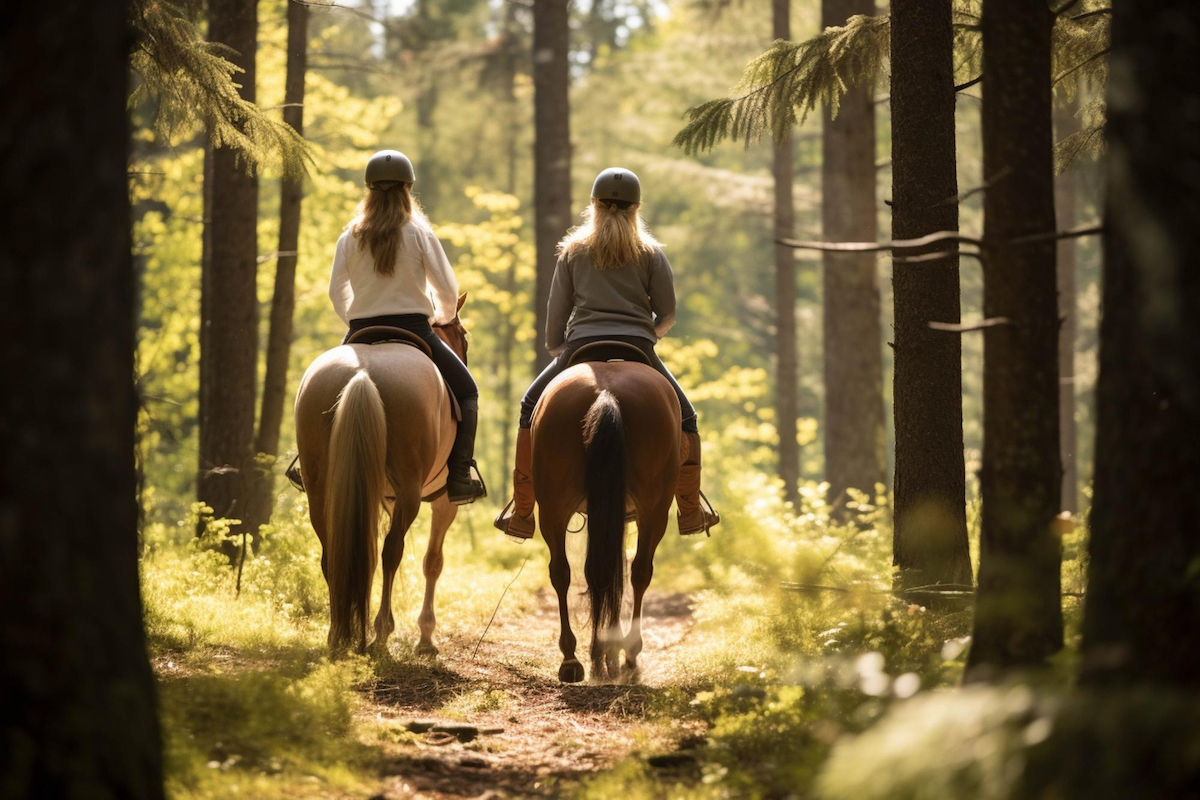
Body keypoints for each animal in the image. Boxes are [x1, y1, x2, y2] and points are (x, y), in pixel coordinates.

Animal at [292, 297, 470, 652]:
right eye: (464, 337)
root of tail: (363, 373)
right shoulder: (444, 501)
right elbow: (432, 561)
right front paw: (426, 636)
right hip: (410, 494)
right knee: (392, 552)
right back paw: (380, 633)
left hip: (320, 491)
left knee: (334, 552)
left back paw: (338, 632)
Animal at [530, 350, 681, 681]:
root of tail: (606, 394)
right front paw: (611, 654)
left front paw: (604, 653)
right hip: (654, 509)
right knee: (639, 572)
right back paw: (628, 656)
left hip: (553, 506)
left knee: (565, 572)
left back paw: (573, 660)